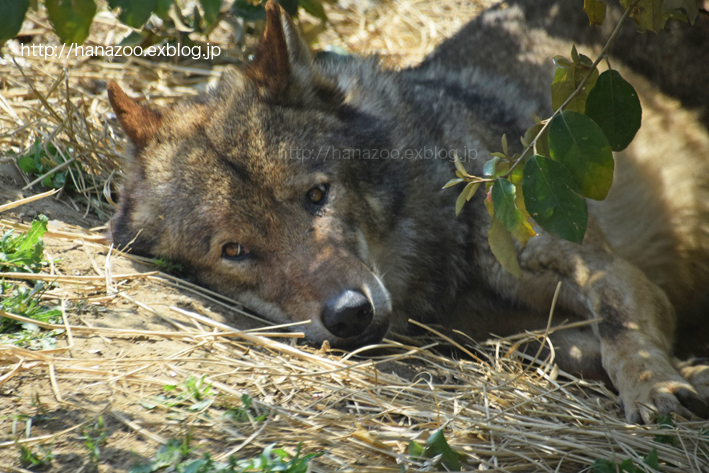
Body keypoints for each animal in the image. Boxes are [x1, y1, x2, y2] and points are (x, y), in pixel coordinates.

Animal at [105, 0, 708, 424]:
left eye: (316, 196)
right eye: (235, 251)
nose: (350, 314)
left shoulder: (600, 267)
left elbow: (617, 319)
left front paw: (656, 387)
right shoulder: (491, 335)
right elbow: (579, 350)